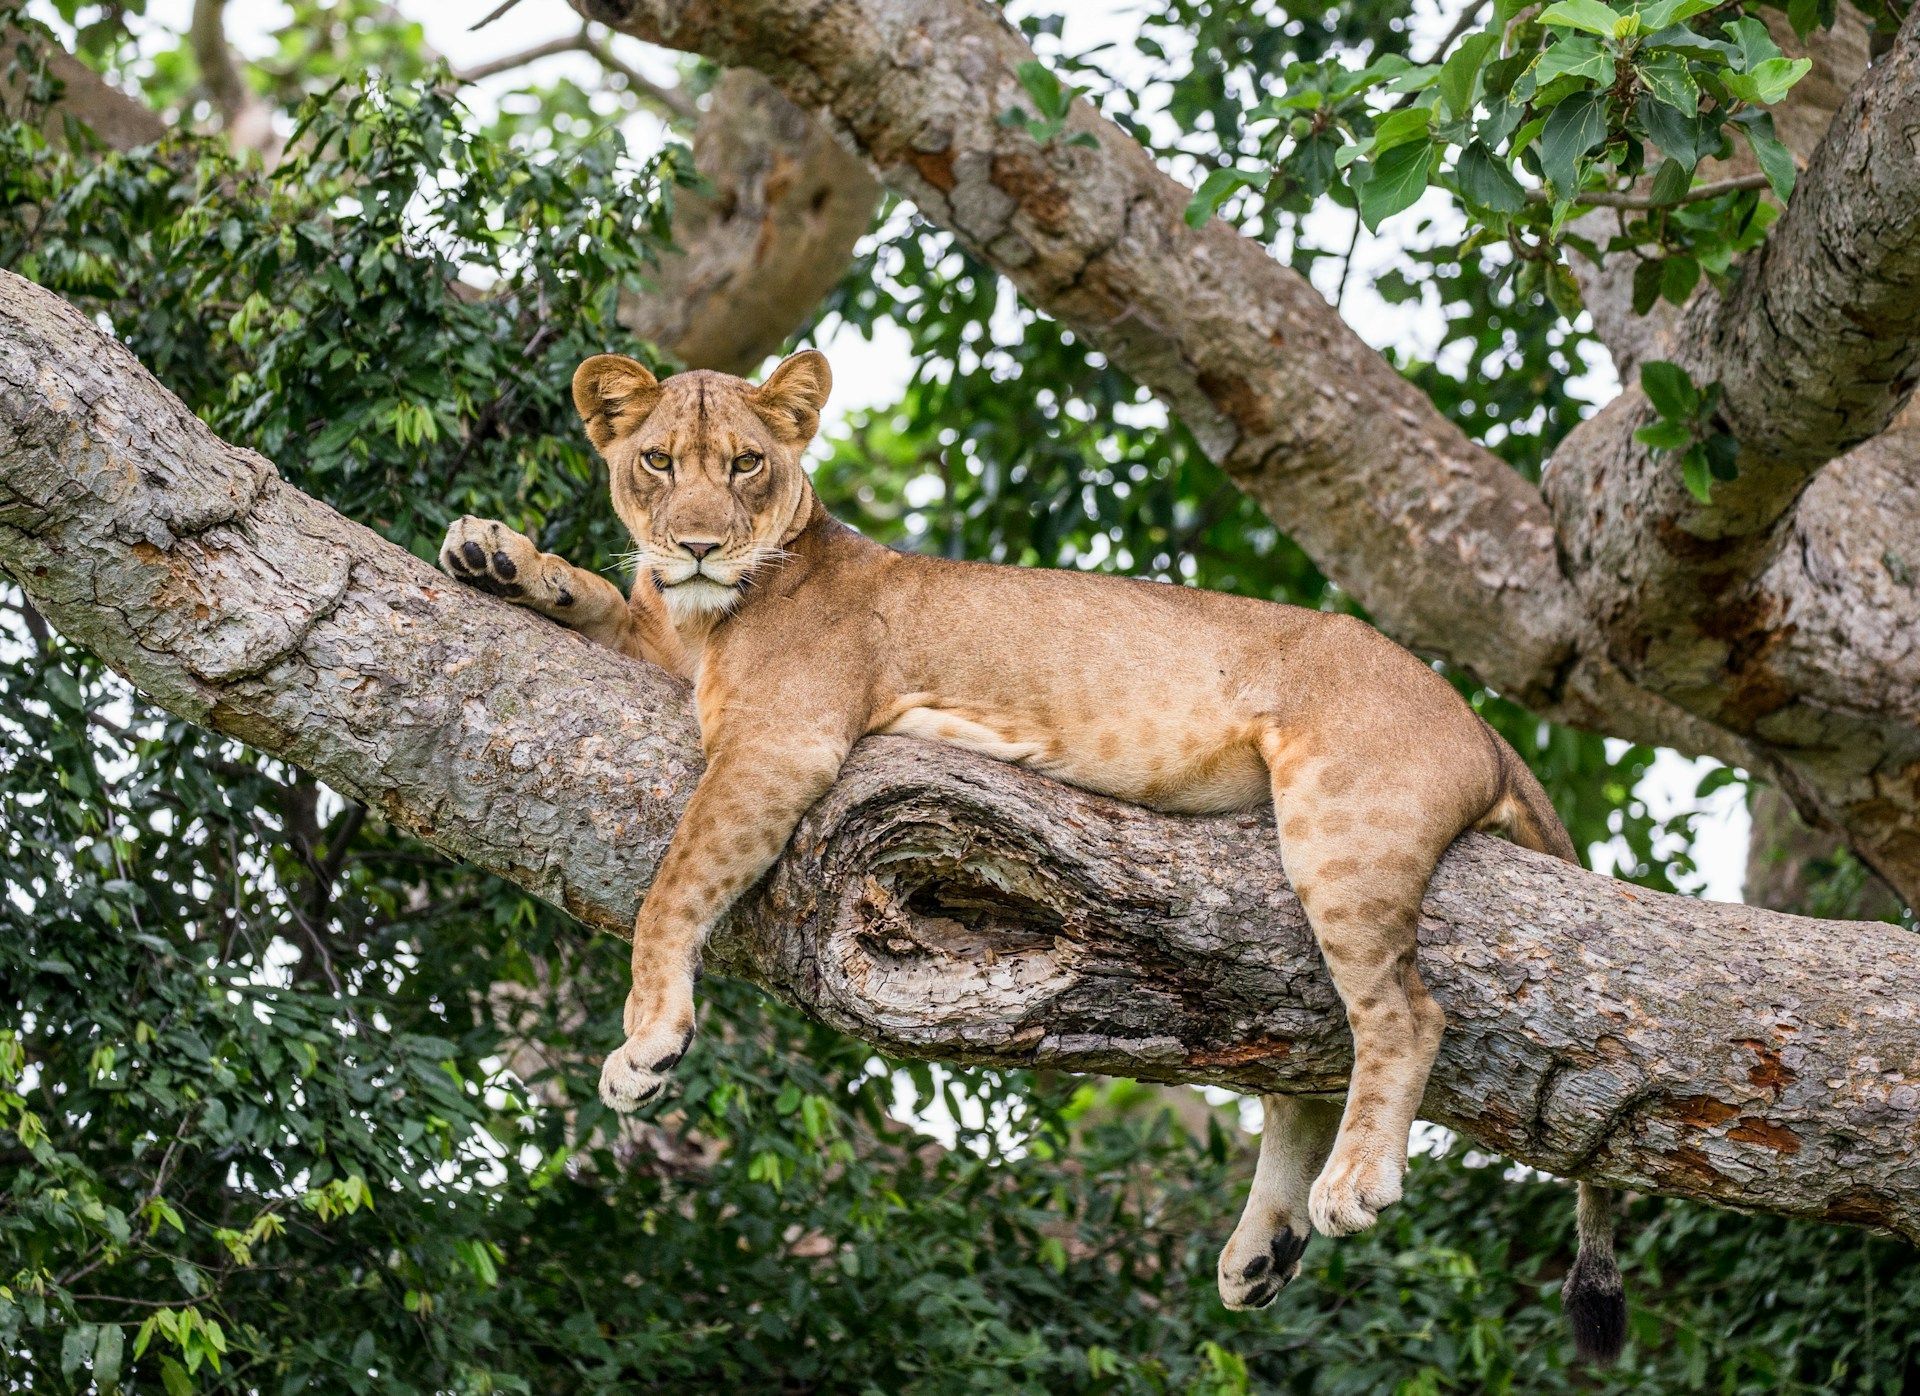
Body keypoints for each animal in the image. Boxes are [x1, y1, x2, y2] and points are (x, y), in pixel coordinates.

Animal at [439, 350, 1626, 1362]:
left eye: (744, 464)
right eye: (656, 462)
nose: (695, 545)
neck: (701, 617)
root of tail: (1478, 724)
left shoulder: (782, 739)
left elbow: (673, 882)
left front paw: (648, 1041)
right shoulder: (666, 653)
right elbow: (603, 600)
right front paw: (496, 555)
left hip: (1346, 822)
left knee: (1403, 1013)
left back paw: (1354, 1184)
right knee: (1309, 1047)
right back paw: (1265, 1247)